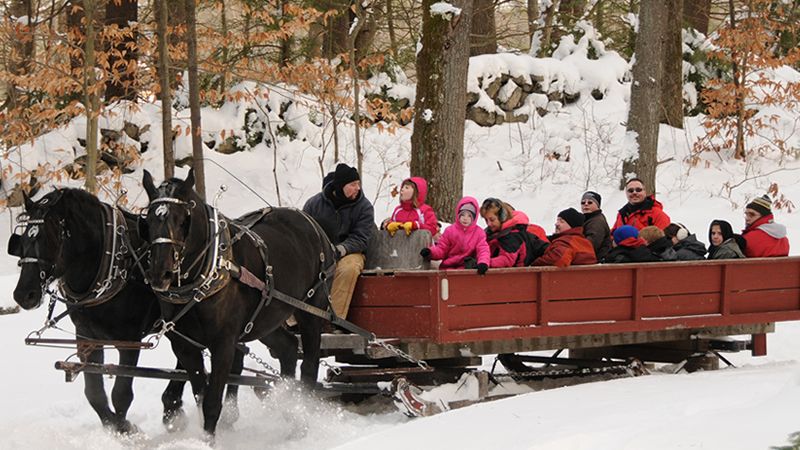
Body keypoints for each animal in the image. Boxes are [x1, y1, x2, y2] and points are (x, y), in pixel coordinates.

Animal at [7, 189, 250, 432]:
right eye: (24, 239)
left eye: (50, 237)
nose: (23, 294)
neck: (109, 260)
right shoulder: (87, 337)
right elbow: (94, 392)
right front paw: (116, 426)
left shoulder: (130, 340)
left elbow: (121, 393)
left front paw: (128, 430)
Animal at [141, 170, 334, 436]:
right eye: (148, 221)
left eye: (182, 220)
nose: (161, 274)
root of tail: (314, 226)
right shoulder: (185, 346)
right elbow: (201, 396)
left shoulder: (224, 343)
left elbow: (212, 403)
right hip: (267, 319)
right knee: (288, 348)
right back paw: (289, 405)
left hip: (312, 310)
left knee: (309, 365)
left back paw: (302, 417)